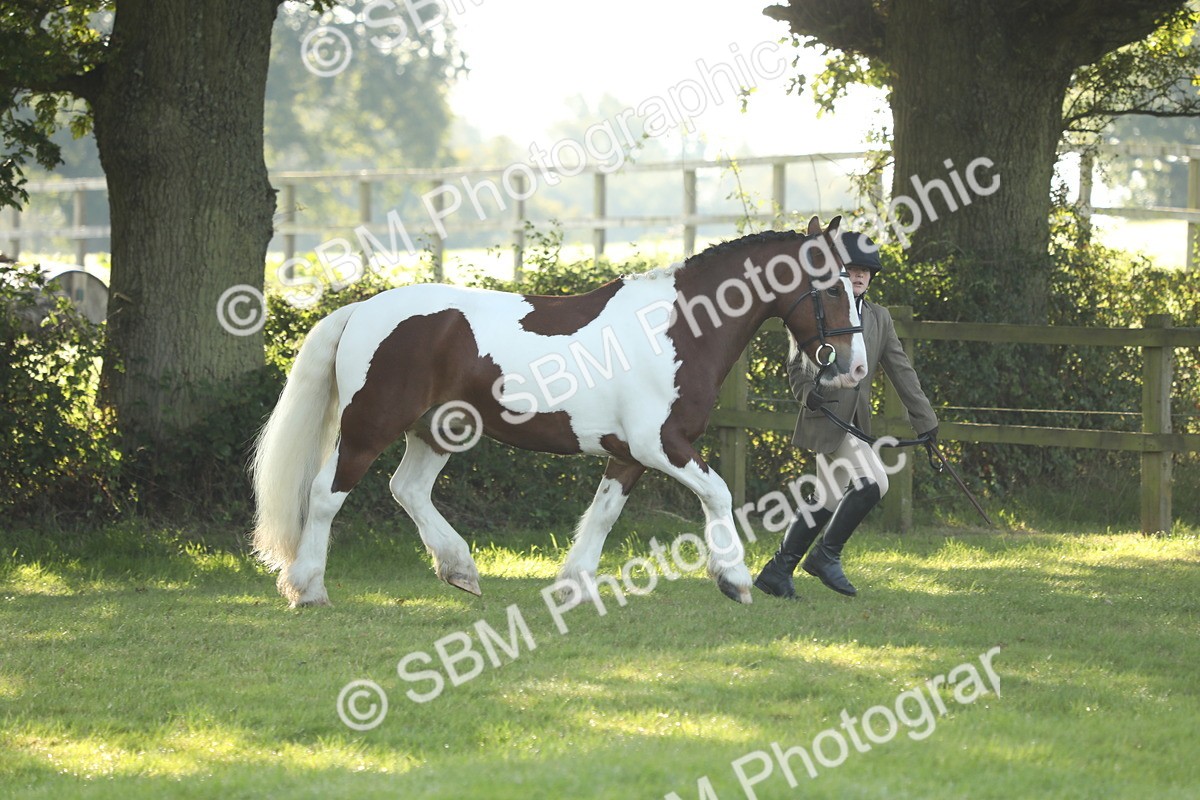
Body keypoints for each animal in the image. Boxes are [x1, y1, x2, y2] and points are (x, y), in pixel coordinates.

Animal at [250, 215, 868, 607]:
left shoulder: (629, 454)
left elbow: (603, 514)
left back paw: (460, 570)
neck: (680, 328)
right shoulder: (661, 445)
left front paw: (574, 584)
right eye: (834, 289)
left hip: (439, 430)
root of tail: (362, 309)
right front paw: (734, 579)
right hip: (368, 427)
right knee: (326, 496)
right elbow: (717, 493)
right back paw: (308, 588)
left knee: (409, 490)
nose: (854, 368)